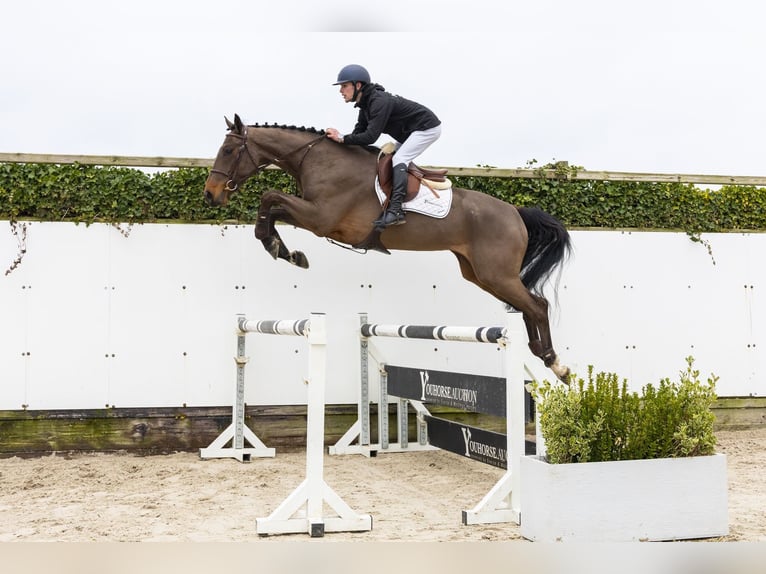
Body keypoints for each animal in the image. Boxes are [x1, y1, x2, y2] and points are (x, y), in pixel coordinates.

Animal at [204, 114, 572, 382]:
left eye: (228, 151)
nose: (210, 194)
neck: (317, 159)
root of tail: (515, 212)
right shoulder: (313, 216)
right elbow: (272, 207)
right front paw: (284, 250)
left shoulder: (321, 218)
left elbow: (269, 196)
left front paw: (279, 247)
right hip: (480, 274)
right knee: (526, 306)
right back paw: (543, 355)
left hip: (495, 273)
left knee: (536, 304)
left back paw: (556, 363)